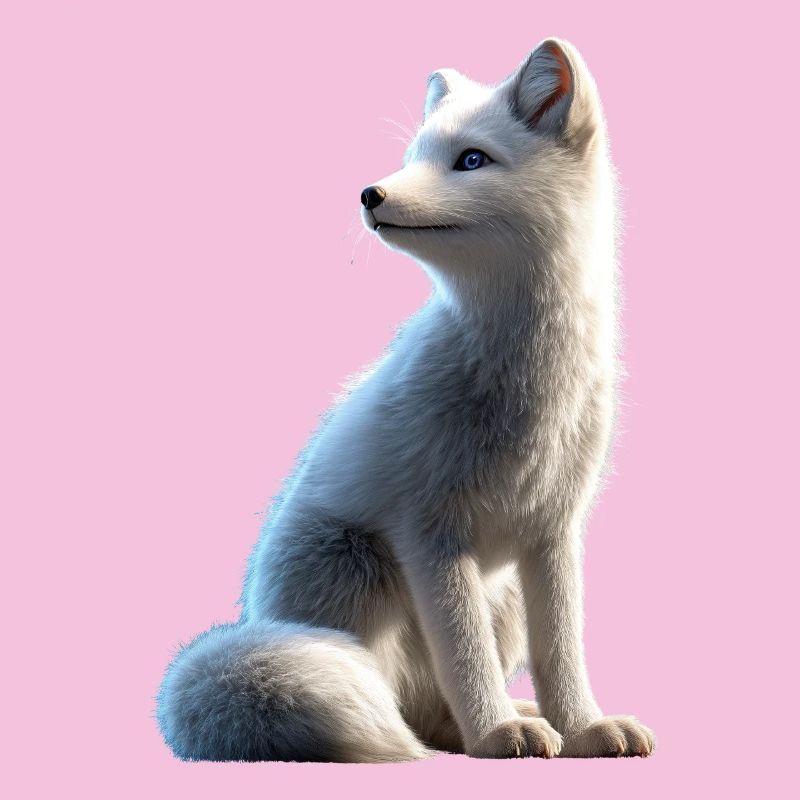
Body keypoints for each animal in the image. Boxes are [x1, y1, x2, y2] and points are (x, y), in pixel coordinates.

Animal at [157, 37, 655, 762]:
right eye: (415, 154)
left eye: (471, 159)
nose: (370, 192)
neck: (528, 378)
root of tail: (256, 617)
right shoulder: (430, 531)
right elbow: (467, 658)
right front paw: (497, 733)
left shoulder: (553, 531)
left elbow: (562, 651)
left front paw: (586, 727)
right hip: (361, 573)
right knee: (406, 706)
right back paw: (481, 729)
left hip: (501, 596)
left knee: (433, 709)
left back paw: (520, 719)